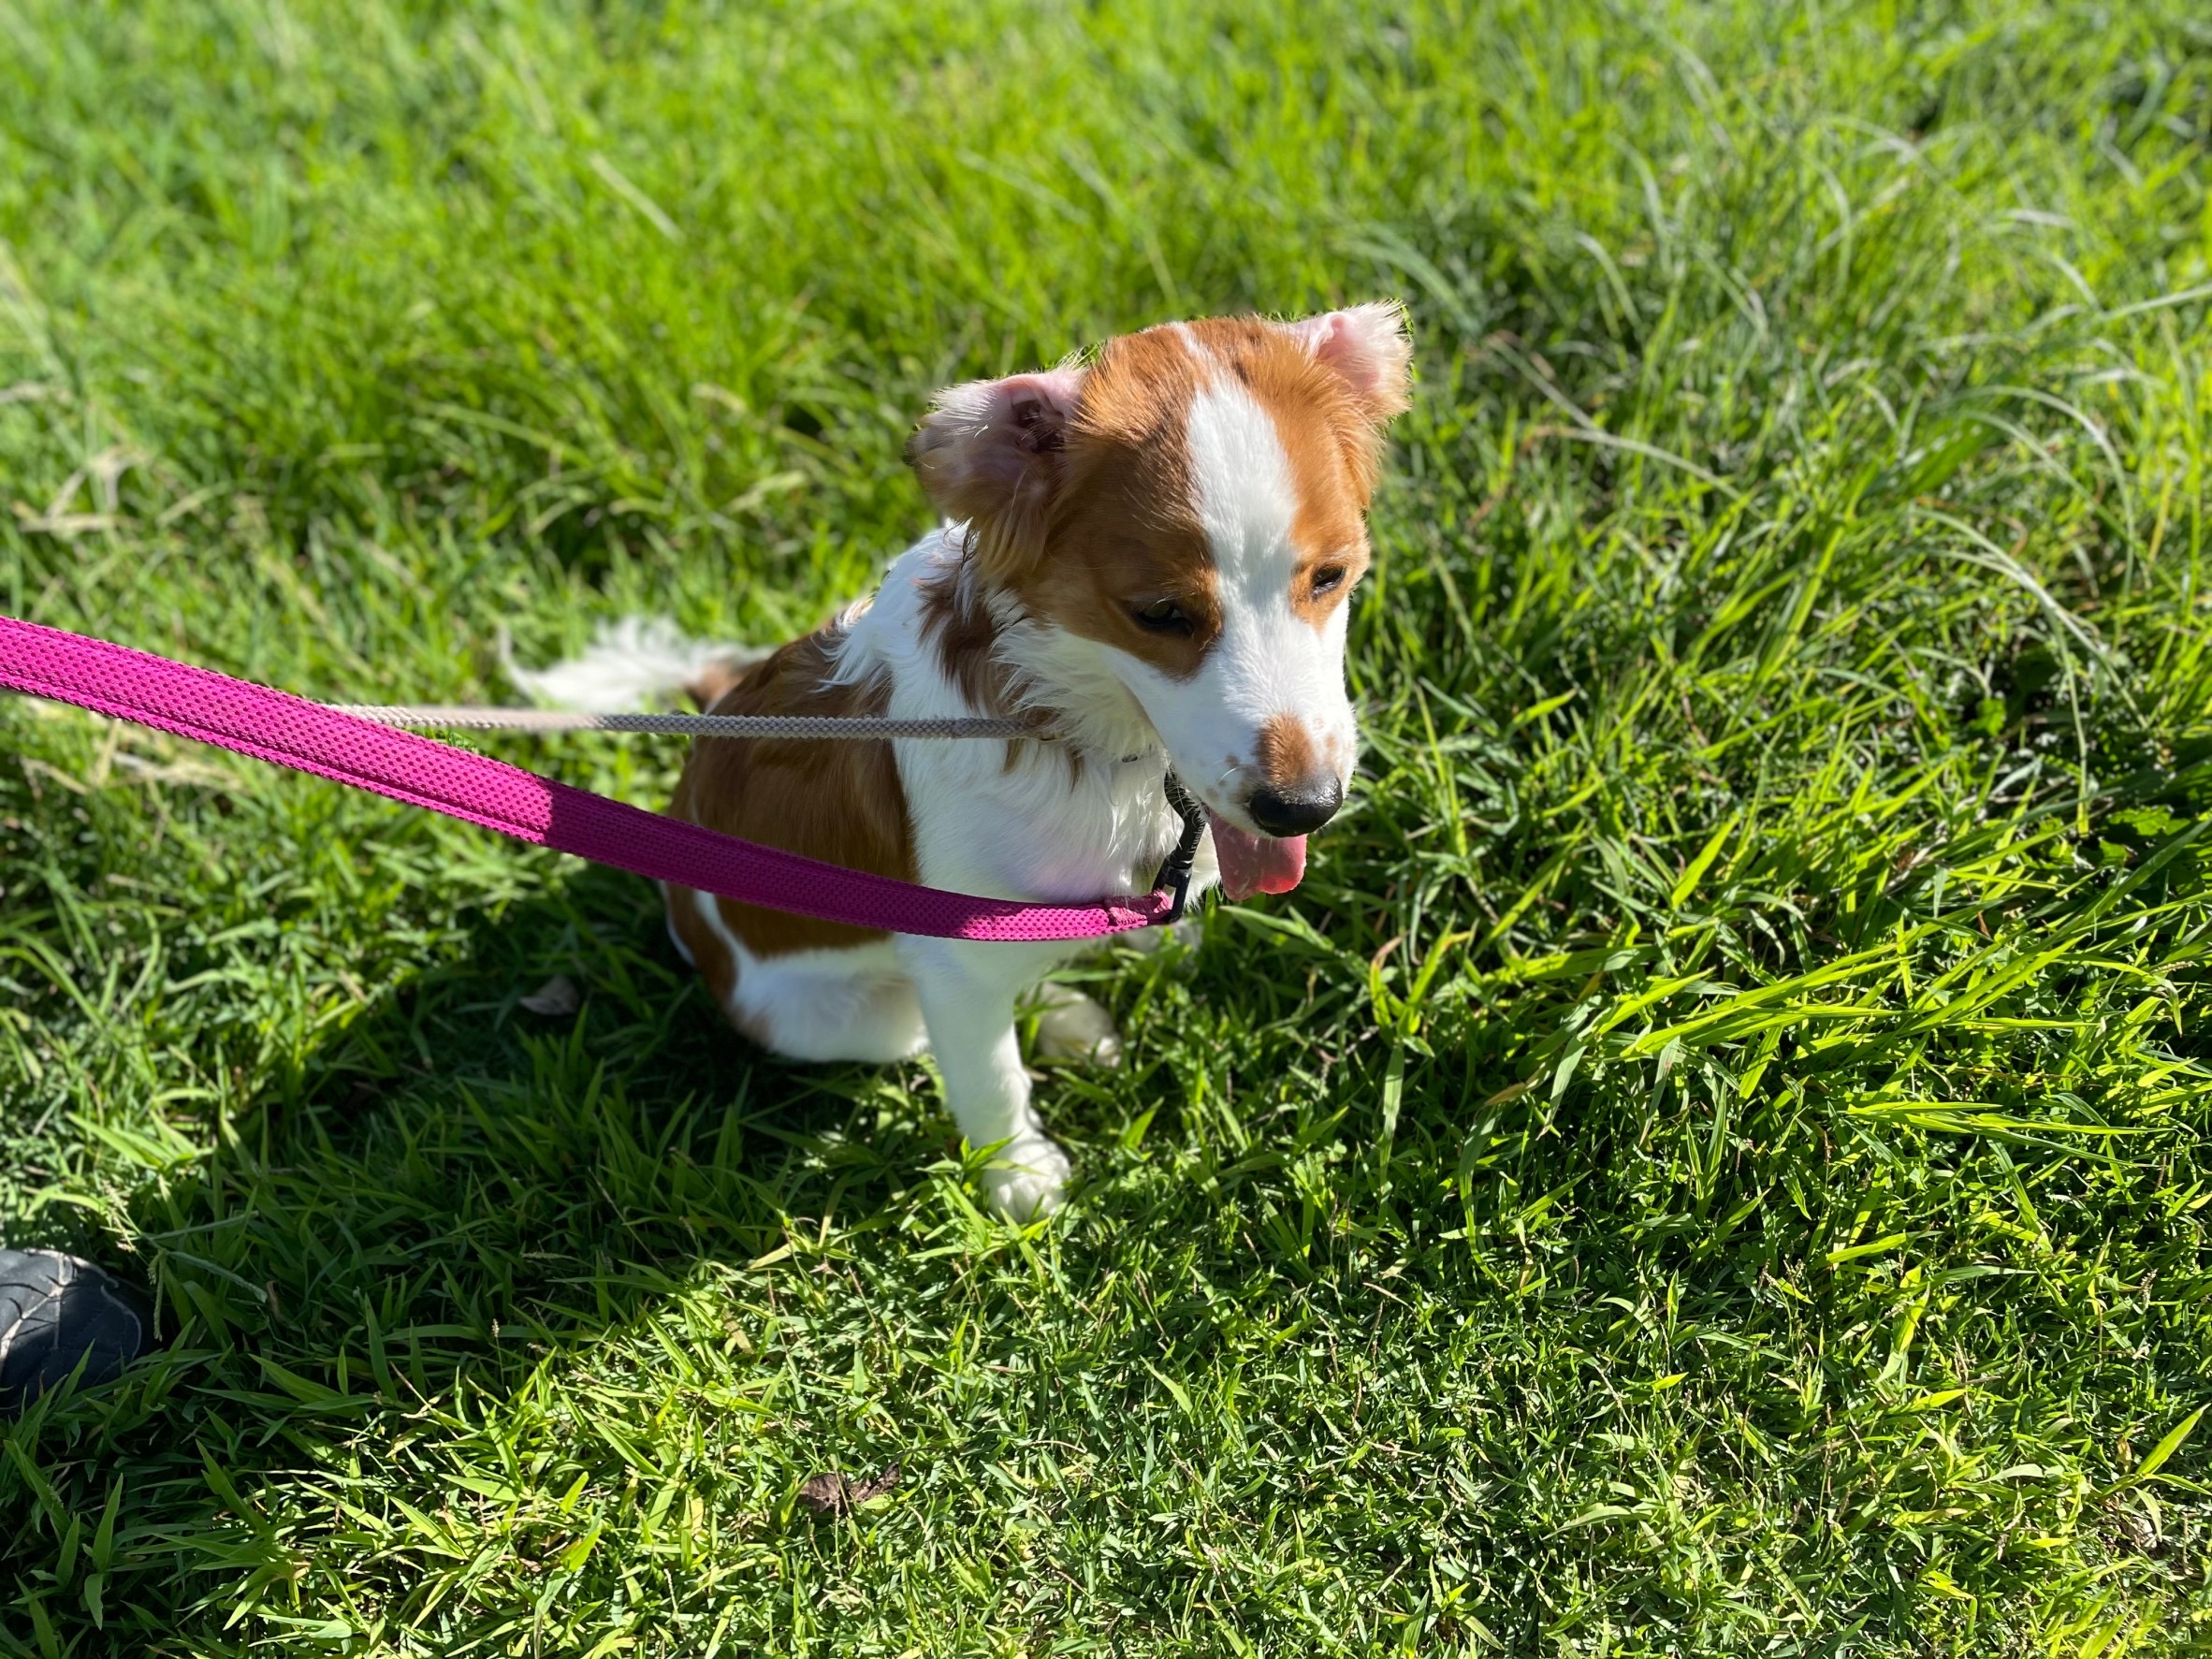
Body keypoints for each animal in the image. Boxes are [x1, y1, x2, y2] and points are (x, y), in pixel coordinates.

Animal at [548, 313, 1415, 1220]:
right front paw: (1019, 1177)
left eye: (1333, 575)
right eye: (1161, 614)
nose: (1303, 806)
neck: (1075, 726)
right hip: (829, 1013)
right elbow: (990, 1073)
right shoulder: (952, 956)